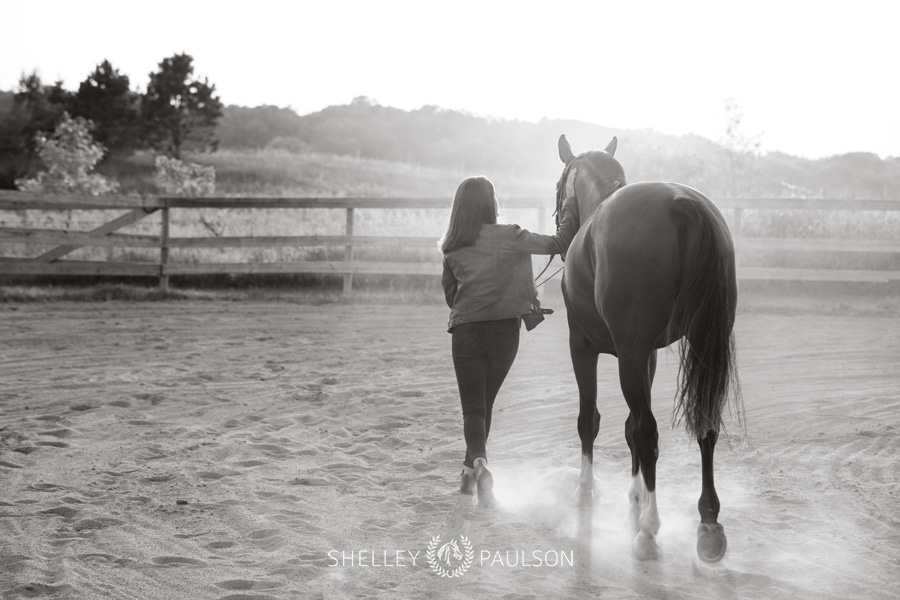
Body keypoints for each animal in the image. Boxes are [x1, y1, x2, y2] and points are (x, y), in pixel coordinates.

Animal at [556, 135, 744, 564]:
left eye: (559, 186)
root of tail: (680, 202)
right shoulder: (649, 355)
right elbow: (627, 427)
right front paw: (635, 495)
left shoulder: (585, 345)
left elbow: (591, 420)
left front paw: (587, 490)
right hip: (703, 341)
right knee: (705, 424)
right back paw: (708, 526)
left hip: (627, 354)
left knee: (648, 431)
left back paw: (648, 533)